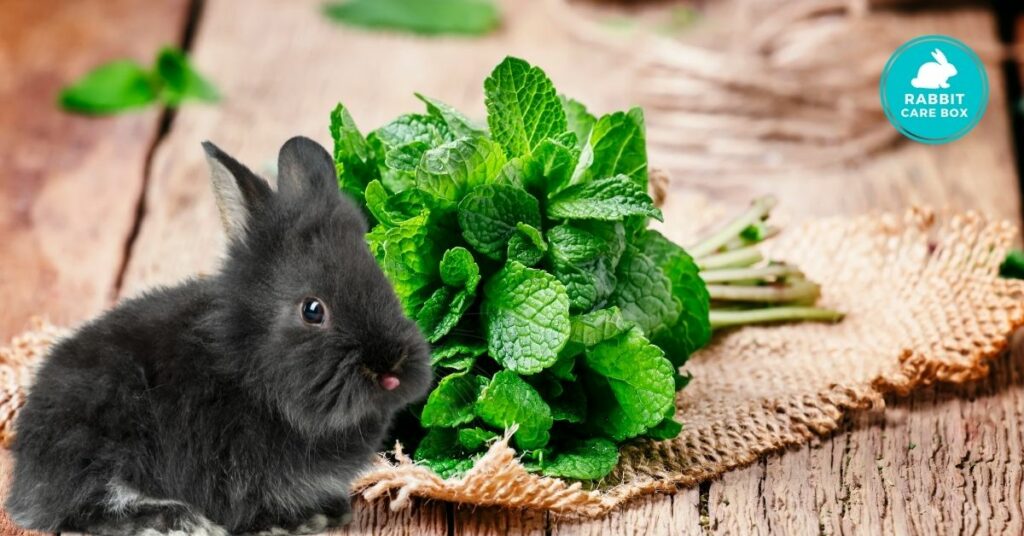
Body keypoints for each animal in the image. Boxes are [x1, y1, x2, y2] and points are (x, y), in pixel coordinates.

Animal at [5, 136, 432, 535]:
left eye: (384, 282)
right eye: (313, 310)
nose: (390, 368)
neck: (250, 371)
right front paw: (299, 521)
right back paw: (182, 520)